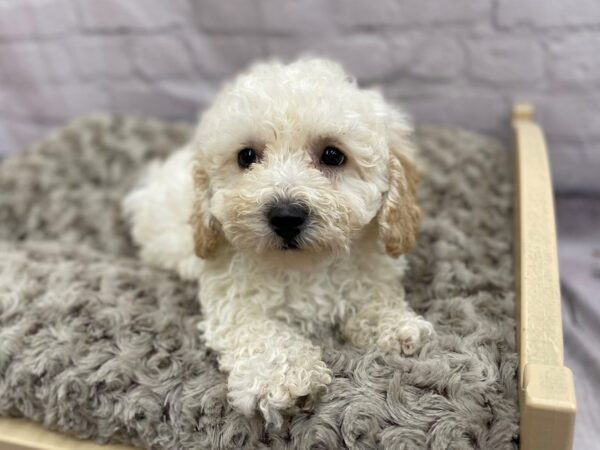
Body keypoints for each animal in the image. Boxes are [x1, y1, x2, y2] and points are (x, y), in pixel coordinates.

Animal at [123, 58, 432, 428]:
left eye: (333, 155)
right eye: (246, 157)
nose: (285, 216)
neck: (304, 263)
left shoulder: (373, 267)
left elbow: (375, 294)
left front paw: (395, 325)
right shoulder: (234, 302)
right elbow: (262, 333)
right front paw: (282, 379)